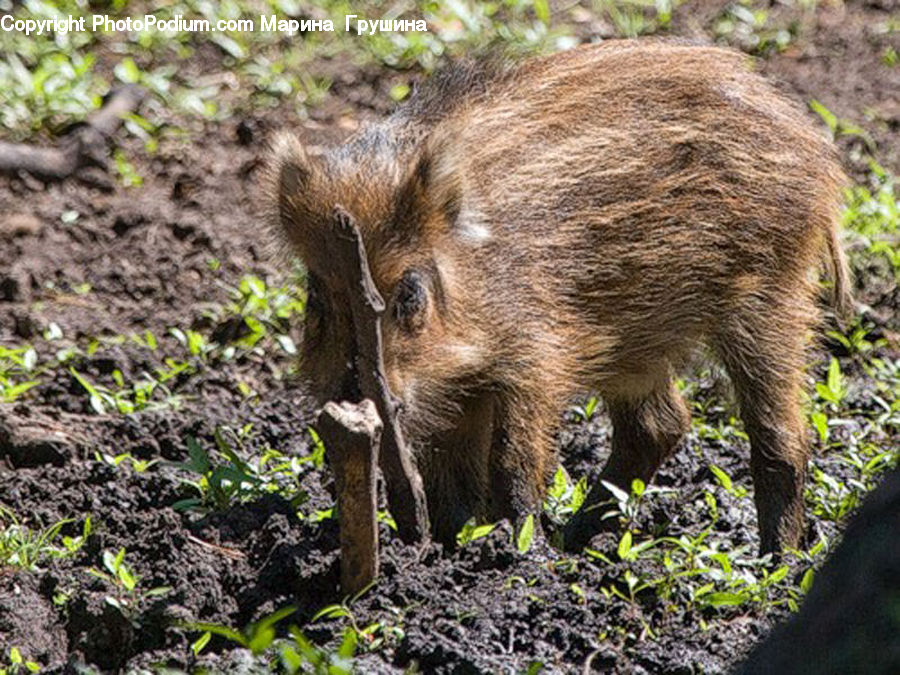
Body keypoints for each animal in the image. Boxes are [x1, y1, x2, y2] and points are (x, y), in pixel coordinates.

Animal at [264, 40, 851, 553]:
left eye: (409, 292)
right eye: (315, 295)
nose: (350, 396)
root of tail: (814, 145)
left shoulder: (536, 355)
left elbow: (512, 461)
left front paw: (519, 549)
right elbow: (451, 477)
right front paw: (449, 547)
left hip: (771, 294)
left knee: (780, 437)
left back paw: (779, 560)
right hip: (635, 338)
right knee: (658, 426)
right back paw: (577, 541)